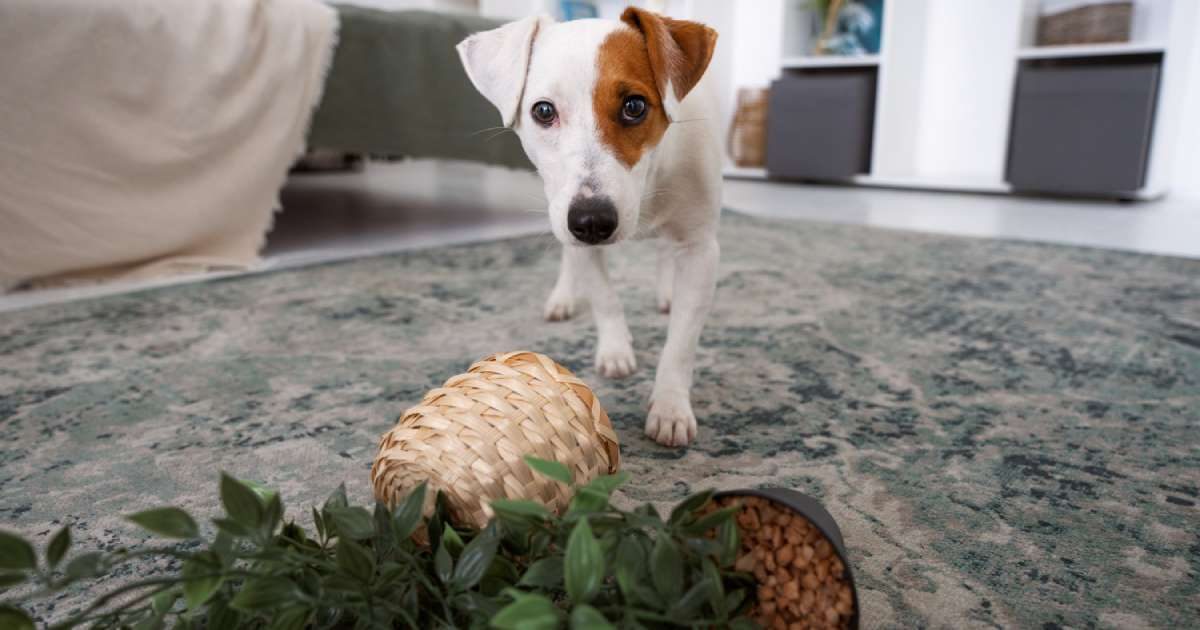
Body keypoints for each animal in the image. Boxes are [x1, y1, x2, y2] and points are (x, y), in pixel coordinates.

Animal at [458, 7, 720, 444]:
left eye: (635, 106)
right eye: (543, 111)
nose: (593, 221)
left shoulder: (700, 249)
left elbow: (681, 343)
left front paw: (670, 406)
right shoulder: (572, 225)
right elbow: (604, 298)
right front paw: (615, 350)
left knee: (665, 253)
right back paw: (563, 298)